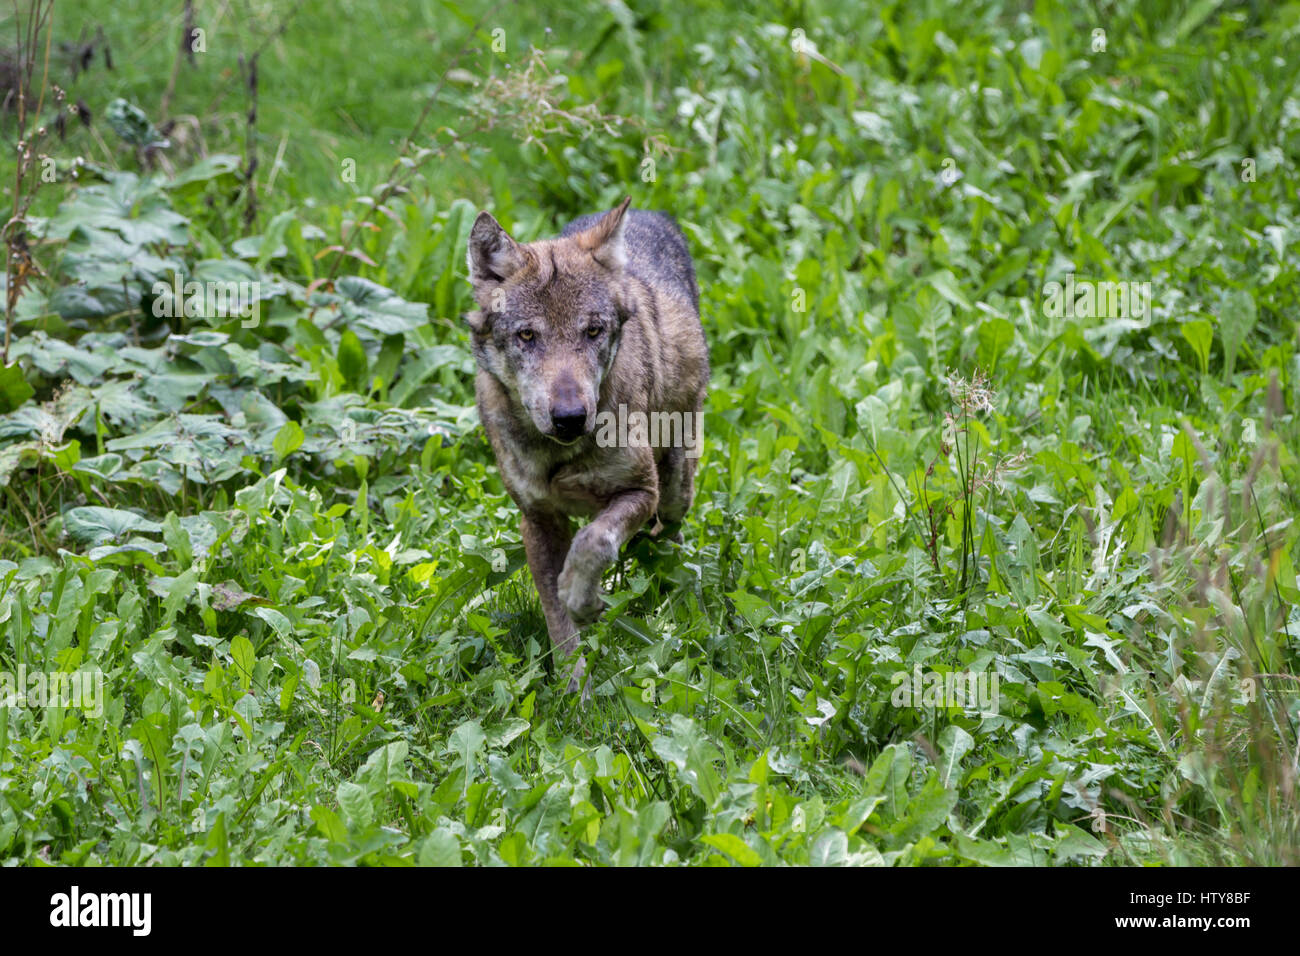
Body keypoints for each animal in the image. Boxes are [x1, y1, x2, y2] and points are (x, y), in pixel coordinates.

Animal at [465, 200, 712, 697]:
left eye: (593, 331)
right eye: (527, 336)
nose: (570, 417)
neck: (561, 457)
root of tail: (654, 215)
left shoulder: (642, 492)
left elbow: (593, 541)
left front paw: (583, 598)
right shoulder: (537, 520)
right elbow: (557, 619)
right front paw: (573, 690)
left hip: (675, 487)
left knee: (669, 532)